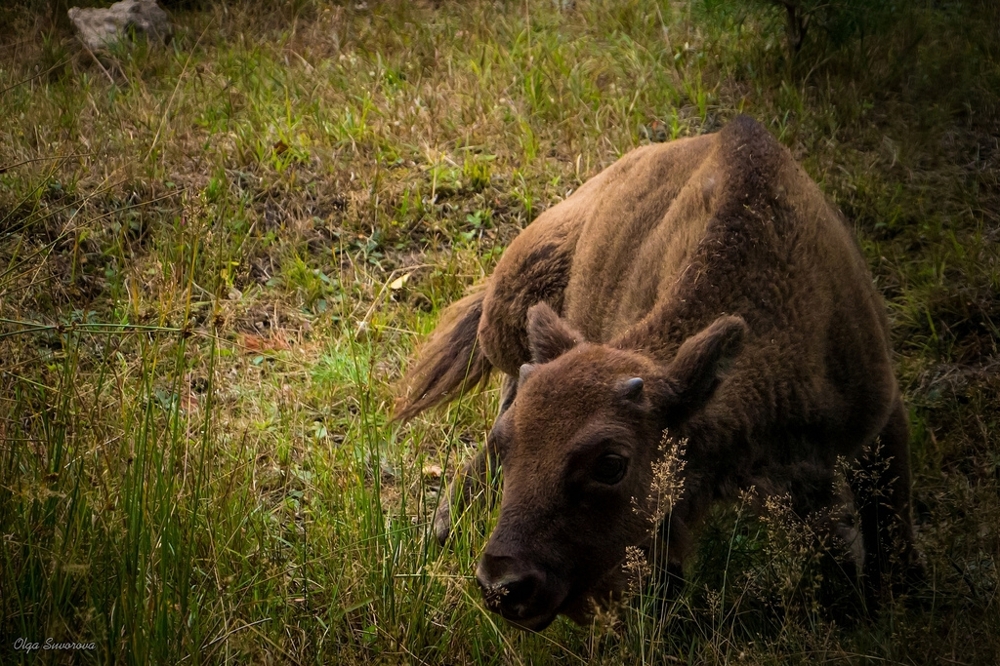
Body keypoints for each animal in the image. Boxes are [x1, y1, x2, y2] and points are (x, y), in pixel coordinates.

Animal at [392, 116, 920, 632]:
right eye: (511, 445)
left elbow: (886, 523)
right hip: (511, 305)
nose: (503, 585)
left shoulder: (879, 419)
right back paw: (442, 527)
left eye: (611, 463)